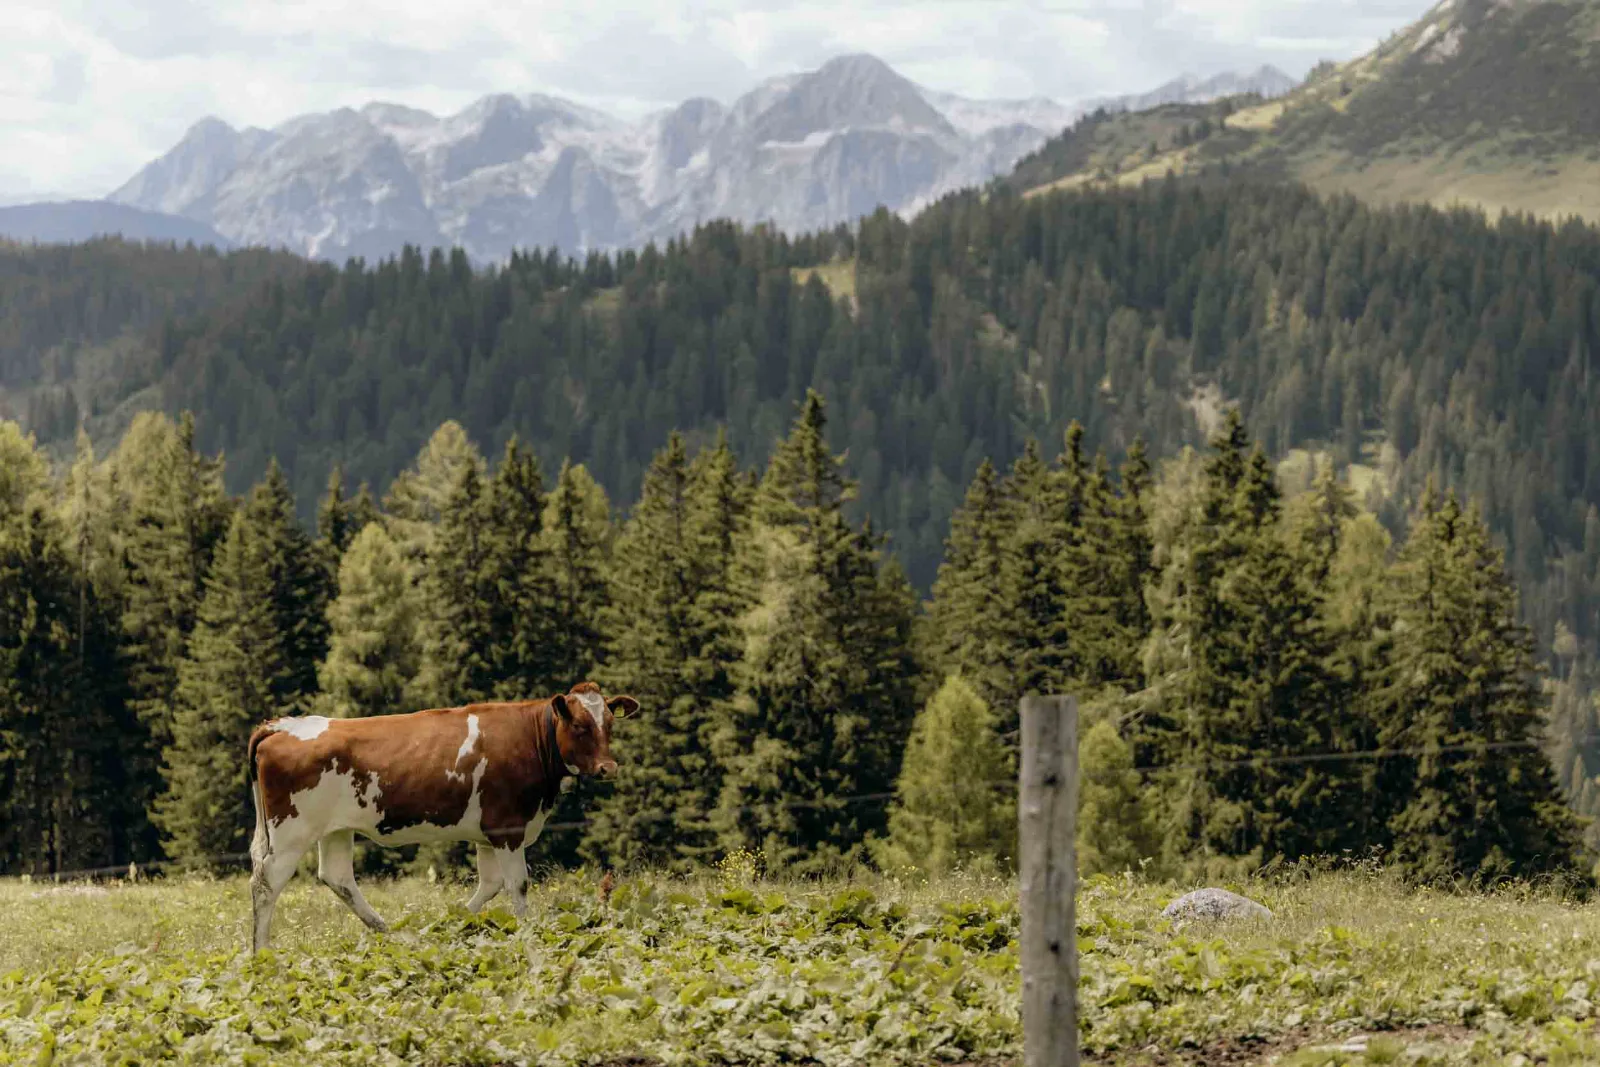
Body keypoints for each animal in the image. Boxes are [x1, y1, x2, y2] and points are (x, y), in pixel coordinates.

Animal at [245, 680, 636, 952]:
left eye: (609, 725)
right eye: (580, 726)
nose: (608, 767)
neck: (531, 739)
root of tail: (279, 725)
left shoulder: (488, 832)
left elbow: (490, 885)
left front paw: (444, 929)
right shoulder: (508, 827)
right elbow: (517, 885)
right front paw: (529, 936)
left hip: (335, 828)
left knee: (337, 877)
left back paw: (391, 934)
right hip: (291, 831)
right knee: (266, 882)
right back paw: (261, 953)